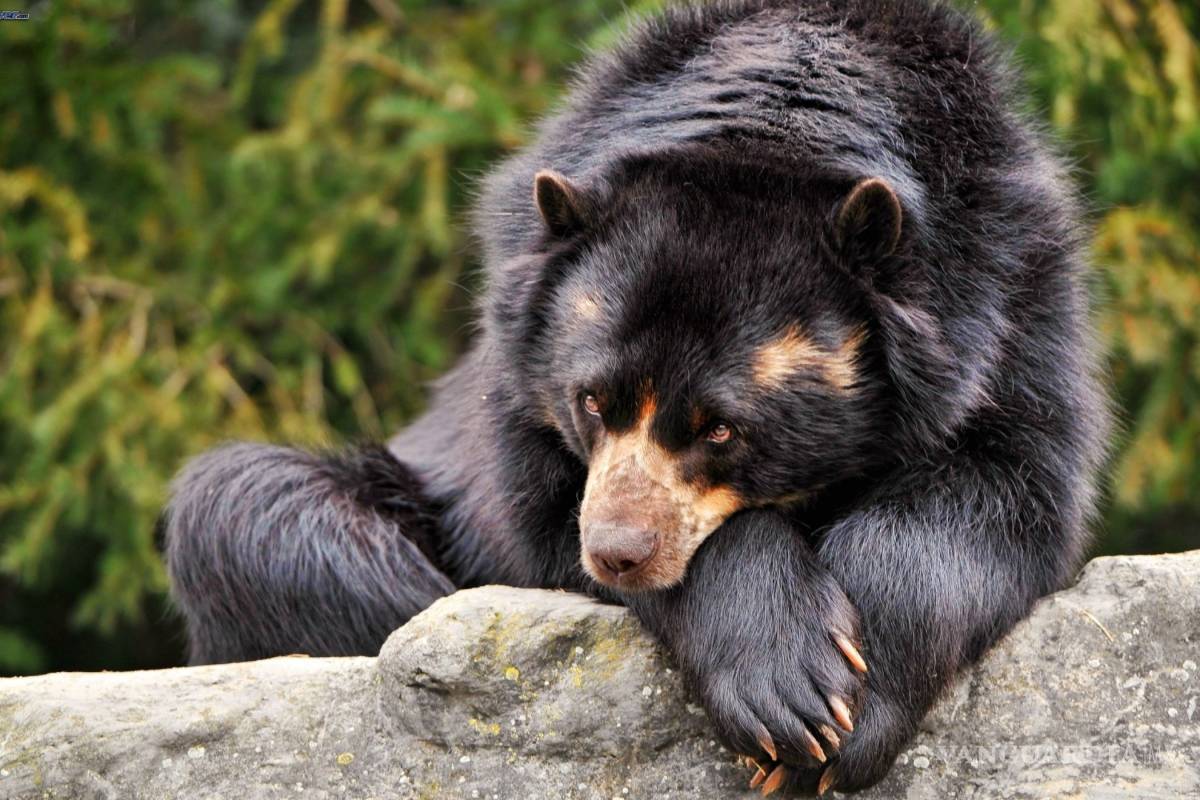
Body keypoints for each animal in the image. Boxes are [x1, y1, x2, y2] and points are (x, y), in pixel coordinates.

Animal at [163, 0, 1109, 793]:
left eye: (722, 429)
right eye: (590, 401)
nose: (618, 551)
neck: (775, 125)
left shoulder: (1012, 299)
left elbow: (1003, 488)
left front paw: (846, 715)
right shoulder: (517, 371)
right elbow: (541, 518)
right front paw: (790, 693)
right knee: (249, 512)